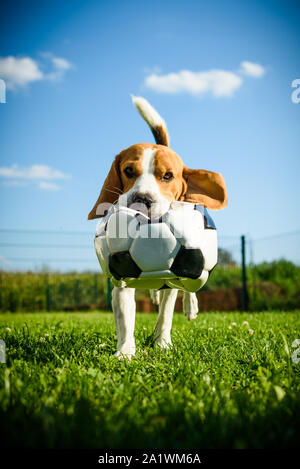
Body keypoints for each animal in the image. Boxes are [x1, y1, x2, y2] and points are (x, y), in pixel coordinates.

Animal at [89, 97, 227, 356]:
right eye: (128, 171)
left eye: (168, 176)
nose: (142, 199)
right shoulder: (122, 270)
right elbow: (126, 316)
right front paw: (125, 351)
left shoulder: (174, 272)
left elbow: (166, 313)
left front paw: (162, 344)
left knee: (188, 287)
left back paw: (189, 305)